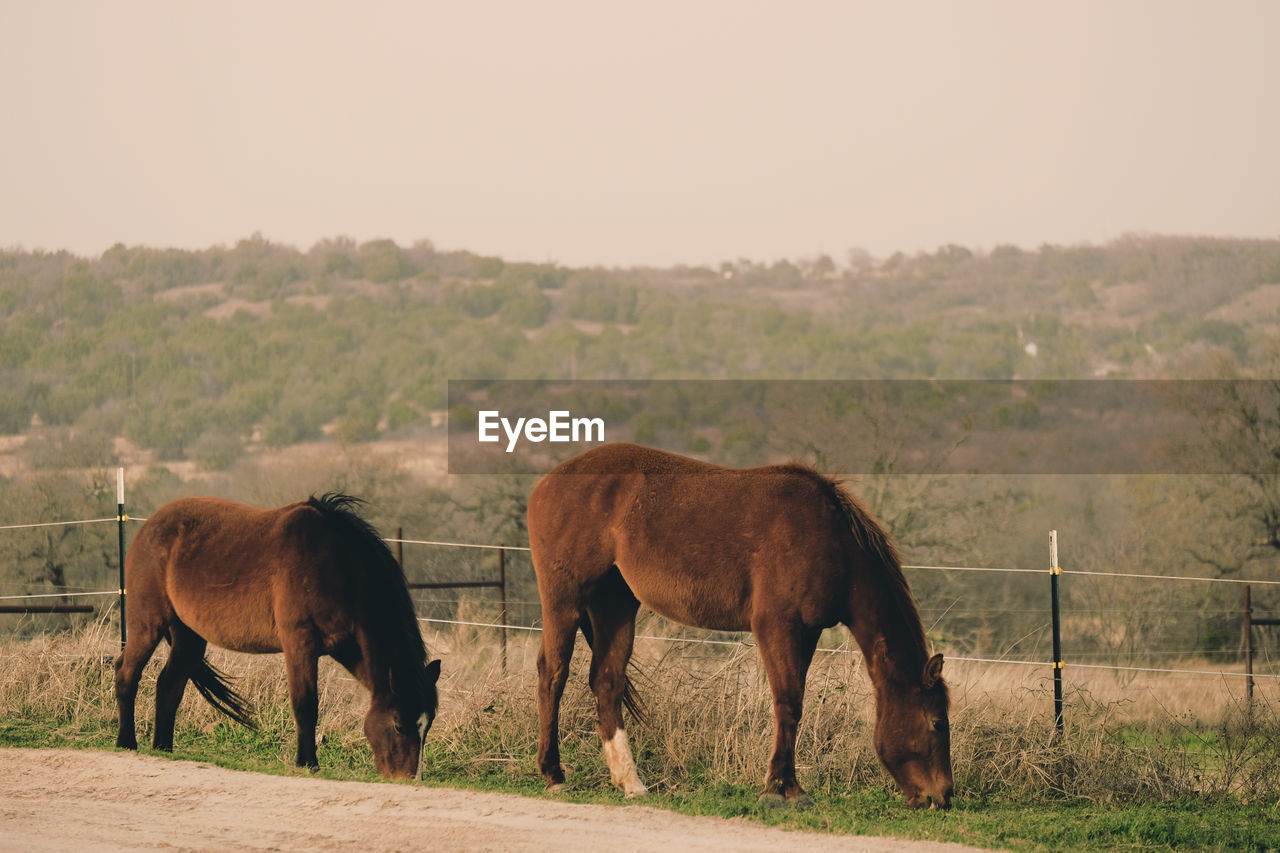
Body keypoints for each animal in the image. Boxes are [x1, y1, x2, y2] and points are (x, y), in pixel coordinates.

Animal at [116, 491, 445, 778]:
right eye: (399, 725)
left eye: (426, 726)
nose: (407, 777)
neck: (336, 565)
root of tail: (149, 526)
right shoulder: (300, 643)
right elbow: (305, 703)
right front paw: (307, 762)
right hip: (147, 624)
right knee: (126, 673)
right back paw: (126, 742)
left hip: (188, 635)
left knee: (169, 684)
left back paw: (163, 747)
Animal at [527, 440, 952, 809]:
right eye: (936, 723)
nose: (944, 797)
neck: (829, 538)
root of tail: (547, 482)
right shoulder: (776, 626)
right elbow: (788, 703)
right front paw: (777, 789)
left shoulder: (808, 631)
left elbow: (795, 704)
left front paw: (791, 788)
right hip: (564, 599)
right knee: (553, 673)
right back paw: (554, 775)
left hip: (615, 603)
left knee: (607, 682)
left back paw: (631, 782)